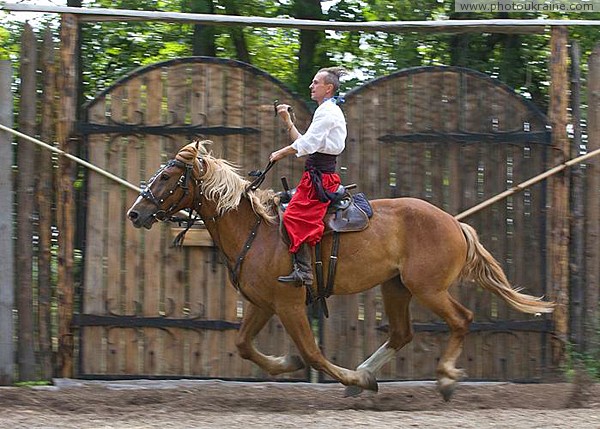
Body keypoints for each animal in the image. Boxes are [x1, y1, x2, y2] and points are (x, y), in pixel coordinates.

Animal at [125, 140, 552, 398]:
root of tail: (454, 223)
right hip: (395, 287)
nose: (135, 213)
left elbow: (313, 353)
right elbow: (244, 345)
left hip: (427, 288)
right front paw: (290, 364)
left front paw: (338, 373)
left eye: (167, 176)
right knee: (402, 333)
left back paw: (444, 377)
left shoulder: (289, 304)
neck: (256, 230)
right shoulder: (263, 304)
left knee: (461, 319)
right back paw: (365, 375)